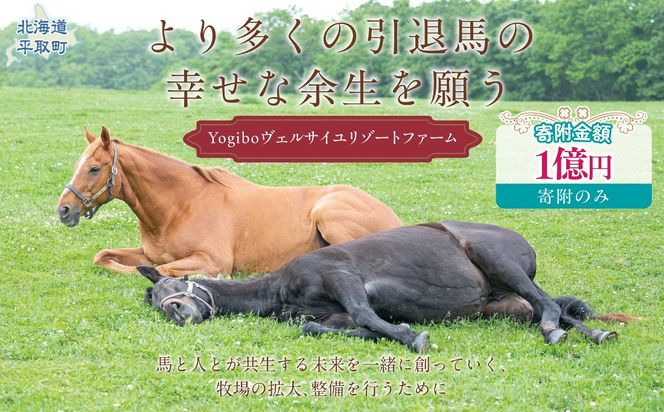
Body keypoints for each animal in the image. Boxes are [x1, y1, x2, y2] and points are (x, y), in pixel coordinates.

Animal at [55, 126, 402, 276]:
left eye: (94, 168)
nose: (64, 210)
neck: (181, 206)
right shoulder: (149, 252)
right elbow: (105, 257)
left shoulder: (212, 260)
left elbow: (158, 270)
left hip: (328, 213)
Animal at [139, 221, 636, 352]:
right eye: (158, 301)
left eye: (176, 284)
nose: (178, 311)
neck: (280, 287)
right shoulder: (329, 314)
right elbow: (318, 327)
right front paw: (388, 333)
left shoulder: (343, 278)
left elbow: (364, 313)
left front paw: (412, 337)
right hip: (505, 304)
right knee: (554, 309)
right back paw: (592, 332)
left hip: (497, 260)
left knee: (547, 306)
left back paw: (560, 331)